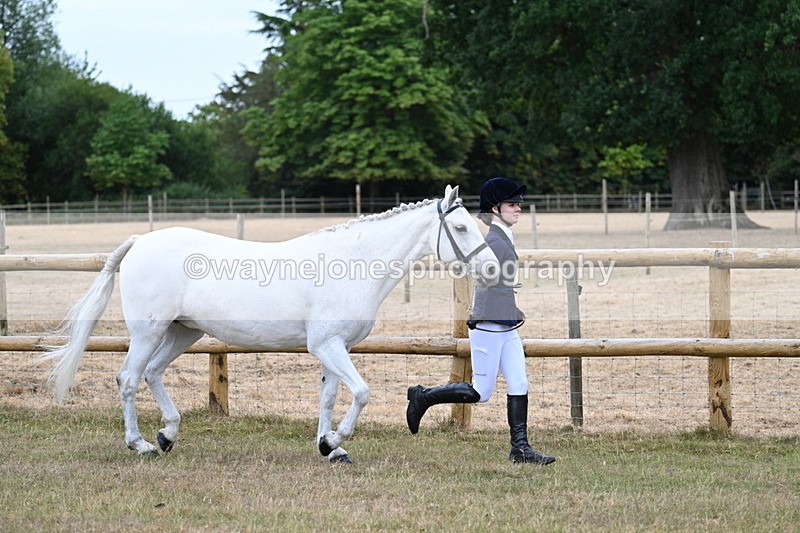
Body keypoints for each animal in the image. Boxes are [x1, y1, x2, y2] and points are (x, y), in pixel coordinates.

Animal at [42, 185, 500, 463]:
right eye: (461, 226)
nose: (494, 269)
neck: (350, 264)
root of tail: (142, 240)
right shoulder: (328, 346)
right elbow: (362, 393)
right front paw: (336, 441)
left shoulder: (334, 348)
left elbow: (329, 398)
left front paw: (329, 448)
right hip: (148, 331)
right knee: (128, 378)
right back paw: (140, 444)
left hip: (183, 331)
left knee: (152, 373)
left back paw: (167, 435)